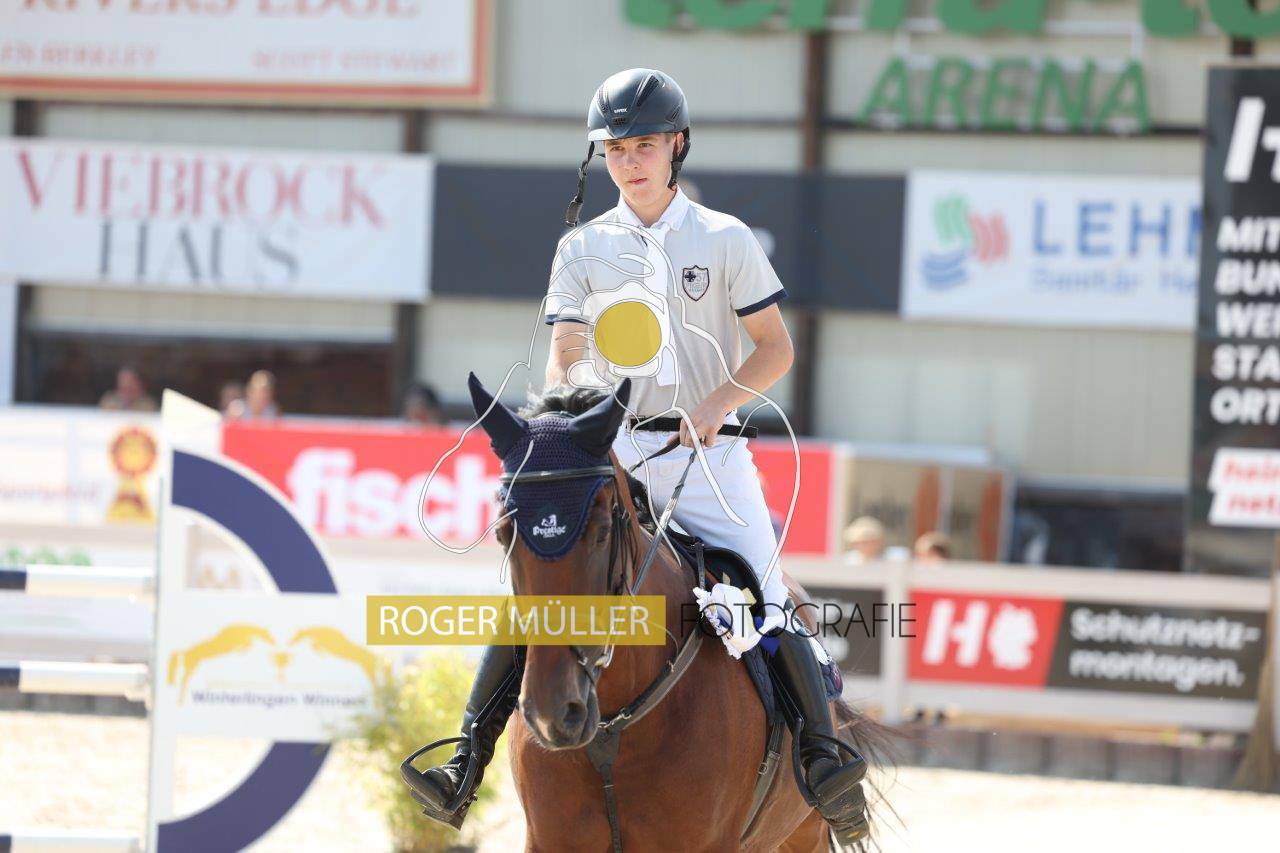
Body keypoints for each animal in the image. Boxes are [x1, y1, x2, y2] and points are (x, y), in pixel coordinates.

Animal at [470, 377, 893, 851]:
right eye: (503, 532)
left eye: (601, 532)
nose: (552, 714)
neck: (614, 719)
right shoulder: (550, 841)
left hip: (805, 833)